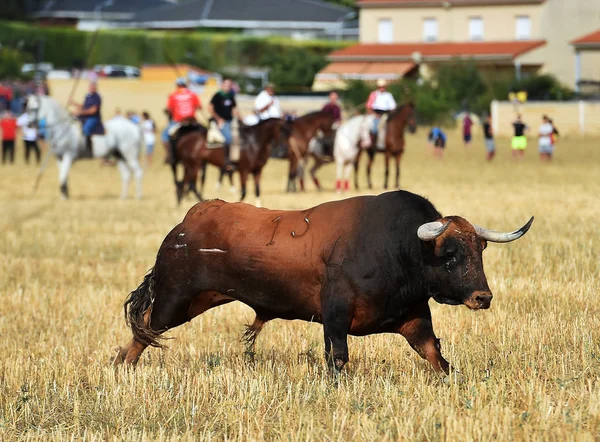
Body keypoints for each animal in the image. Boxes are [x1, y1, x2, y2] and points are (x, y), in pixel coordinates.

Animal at [115, 190, 532, 372]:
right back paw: (122, 366)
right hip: (175, 299)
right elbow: (338, 359)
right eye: (449, 255)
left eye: (480, 250)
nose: (482, 297)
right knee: (144, 328)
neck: (396, 247)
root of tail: (189, 221)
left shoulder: (414, 318)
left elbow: (435, 355)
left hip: (200, 299)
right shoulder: (334, 317)